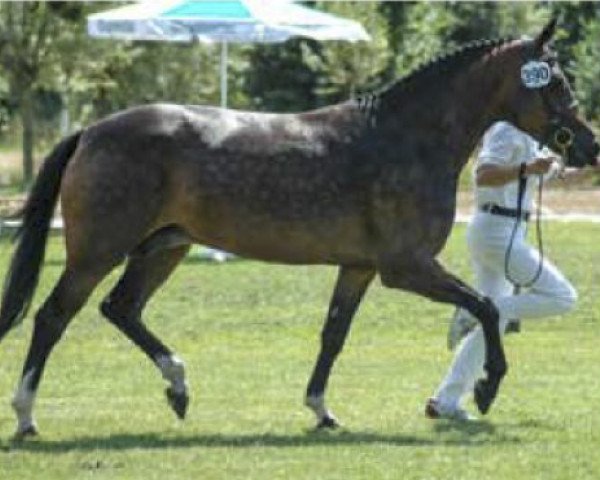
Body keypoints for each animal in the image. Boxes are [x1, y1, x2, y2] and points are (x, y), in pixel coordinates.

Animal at [1, 18, 600, 438]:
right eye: (555, 81)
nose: (588, 146)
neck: (405, 136)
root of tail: (91, 130)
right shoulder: (406, 268)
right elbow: (487, 307)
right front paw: (486, 387)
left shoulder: (358, 267)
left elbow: (334, 335)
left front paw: (321, 410)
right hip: (98, 251)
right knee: (52, 317)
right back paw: (28, 417)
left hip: (162, 248)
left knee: (120, 309)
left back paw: (178, 387)